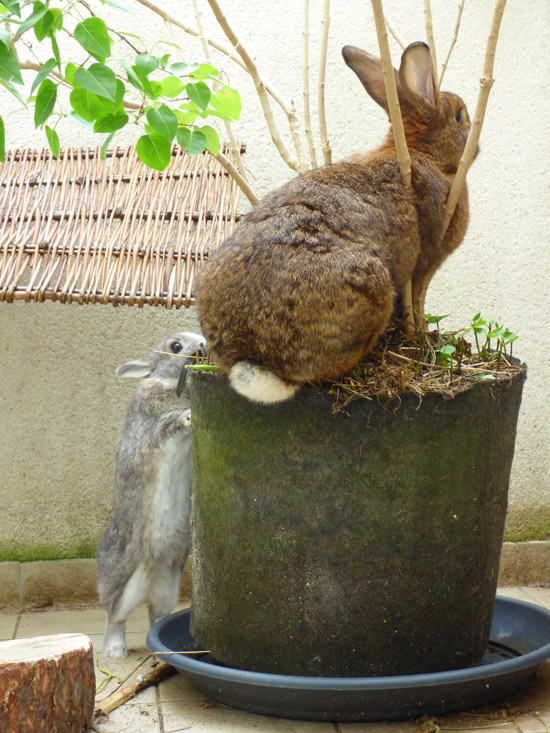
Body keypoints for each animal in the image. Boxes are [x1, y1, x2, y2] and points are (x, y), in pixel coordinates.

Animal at [97, 331, 206, 658]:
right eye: (176, 347)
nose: (203, 345)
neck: (169, 382)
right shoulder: (156, 422)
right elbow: (170, 424)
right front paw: (188, 416)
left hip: (168, 586)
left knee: (155, 614)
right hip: (126, 583)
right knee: (115, 617)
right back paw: (115, 651)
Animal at [197, 42, 472, 404]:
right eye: (459, 116)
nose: (475, 136)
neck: (422, 152)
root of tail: (254, 356)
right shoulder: (424, 267)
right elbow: (417, 304)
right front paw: (421, 337)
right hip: (374, 287)